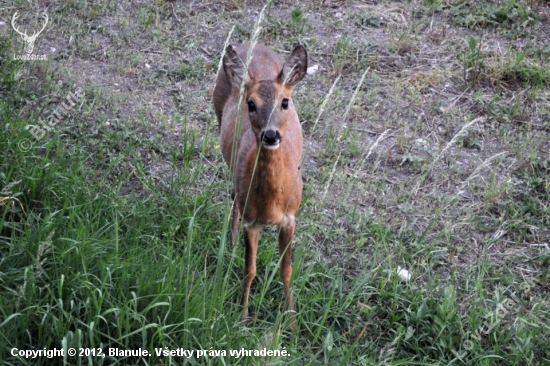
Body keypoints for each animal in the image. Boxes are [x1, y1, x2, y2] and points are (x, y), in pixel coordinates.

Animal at [213, 43, 308, 322]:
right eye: (251, 104)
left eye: (285, 101)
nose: (271, 135)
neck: (272, 203)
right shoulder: (251, 221)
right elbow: (250, 270)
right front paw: (243, 317)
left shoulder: (290, 217)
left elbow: (286, 271)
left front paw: (292, 320)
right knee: (233, 195)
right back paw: (231, 243)